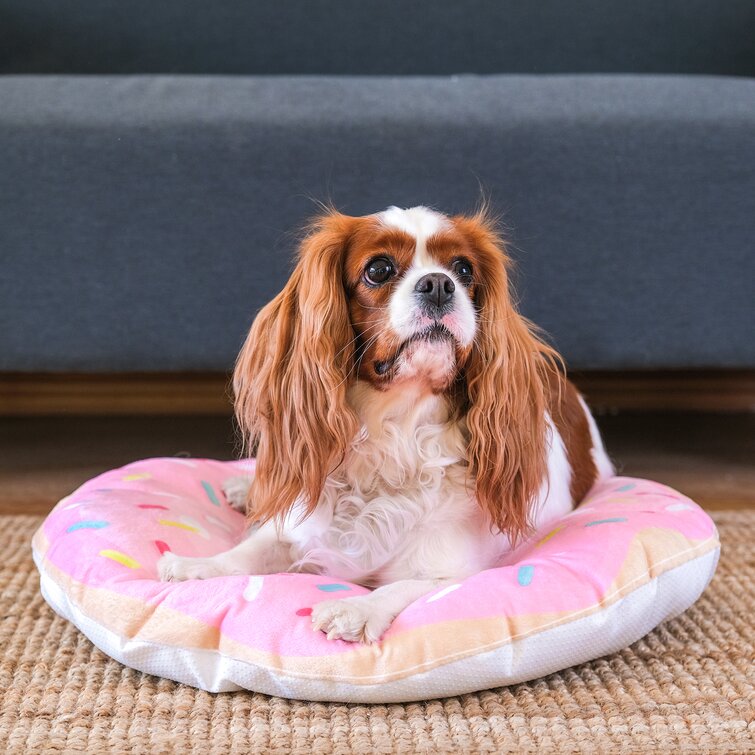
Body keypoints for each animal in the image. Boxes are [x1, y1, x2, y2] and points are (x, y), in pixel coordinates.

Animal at [158, 205, 616, 644]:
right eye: (378, 269)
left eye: (464, 269)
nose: (439, 284)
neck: (395, 430)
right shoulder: (299, 528)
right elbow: (252, 548)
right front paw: (196, 566)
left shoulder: (453, 571)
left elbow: (403, 587)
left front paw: (357, 609)